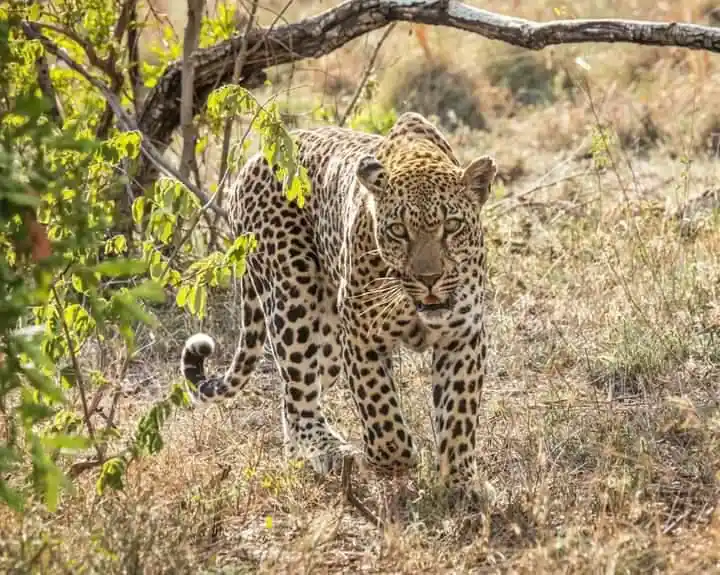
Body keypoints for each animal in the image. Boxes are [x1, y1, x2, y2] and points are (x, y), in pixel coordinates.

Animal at [180, 112, 497, 492]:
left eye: (452, 226)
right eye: (398, 231)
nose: (429, 279)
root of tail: (253, 160)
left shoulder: (462, 334)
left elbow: (458, 414)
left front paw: (461, 484)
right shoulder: (362, 333)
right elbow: (379, 406)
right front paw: (391, 461)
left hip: (328, 341)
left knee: (291, 396)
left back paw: (302, 459)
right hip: (294, 298)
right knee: (298, 395)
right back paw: (329, 451)